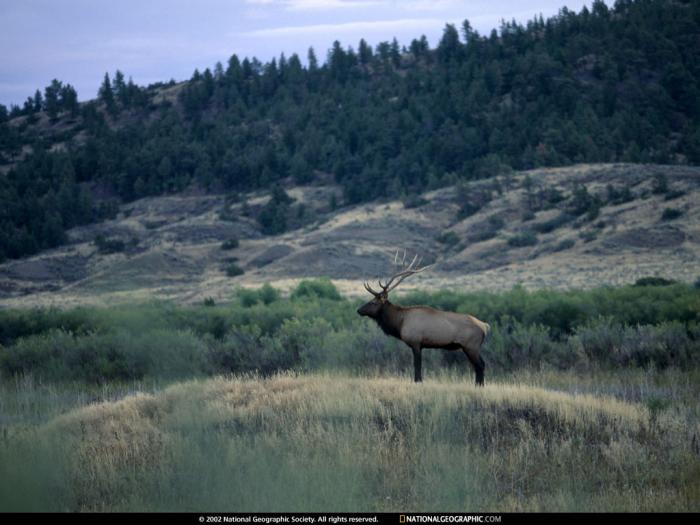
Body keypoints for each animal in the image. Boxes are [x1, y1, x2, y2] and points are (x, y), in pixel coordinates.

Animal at [358, 252, 490, 382]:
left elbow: (417, 366)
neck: (400, 322)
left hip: (471, 346)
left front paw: (418, 381)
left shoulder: (416, 342)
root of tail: (485, 326)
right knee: (481, 365)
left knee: (480, 365)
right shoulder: (420, 345)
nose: (359, 310)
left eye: (373, 302)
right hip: (472, 347)